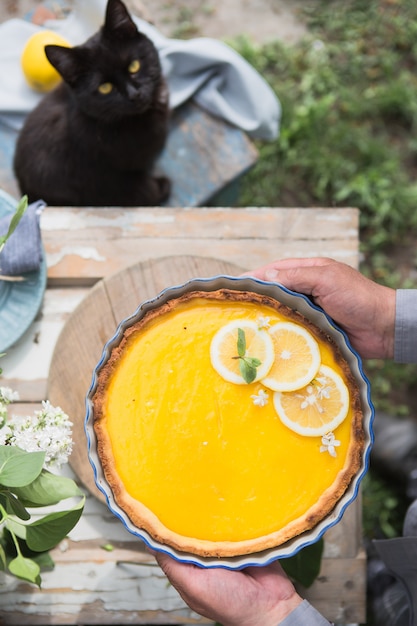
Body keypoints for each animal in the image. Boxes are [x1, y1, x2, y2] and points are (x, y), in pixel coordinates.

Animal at [14, 0, 171, 207]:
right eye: (105, 88)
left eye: (134, 66)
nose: (134, 94)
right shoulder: (109, 181)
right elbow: (141, 192)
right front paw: (160, 188)